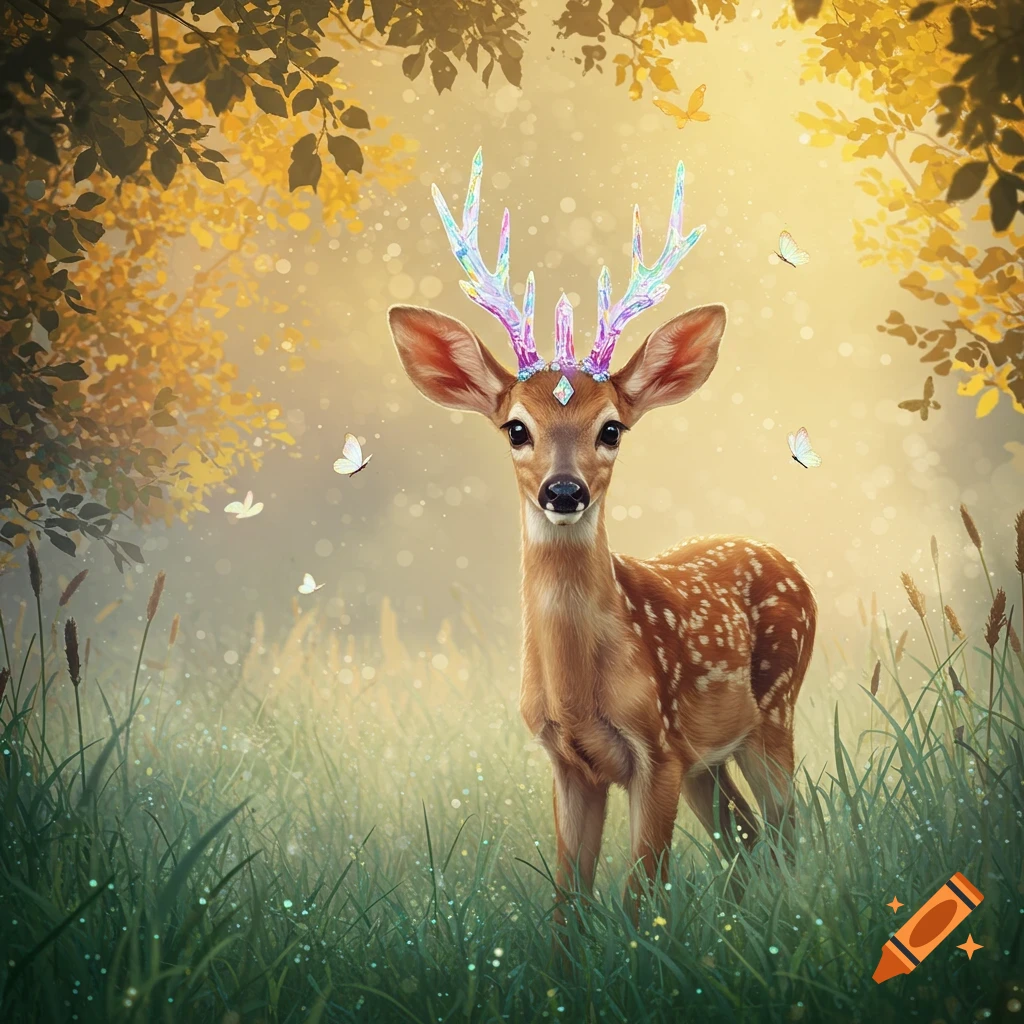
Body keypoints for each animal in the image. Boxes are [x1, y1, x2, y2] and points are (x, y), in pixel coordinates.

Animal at [388, 149, 817, 920]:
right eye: (515, 428)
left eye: (611, 428)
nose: (565, 491)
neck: (578, 693)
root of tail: (786, 561)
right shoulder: (570, 762)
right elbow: (569, 907)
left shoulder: (658, 751)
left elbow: (640, 899)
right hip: (710, 758)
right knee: (746, 842)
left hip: (775, 706)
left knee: (787, 831)